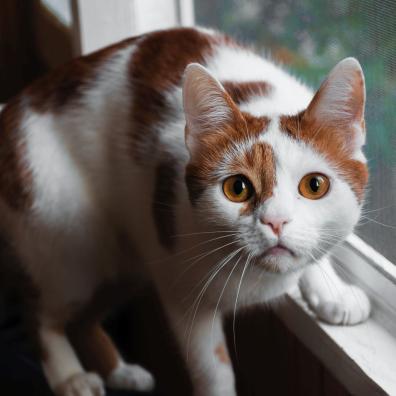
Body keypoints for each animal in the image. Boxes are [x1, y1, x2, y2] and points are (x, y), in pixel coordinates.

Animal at [0, 27, 372, 396]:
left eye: (314, 186)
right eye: (237, 188)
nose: (275, 221)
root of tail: (11, 109)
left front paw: (332, 294)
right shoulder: (181, 289)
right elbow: (212, 368)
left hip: (123, 259)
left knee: (81, 320)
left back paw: (121, 372)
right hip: (66, 245)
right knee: (40, 315)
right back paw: (70, 377)